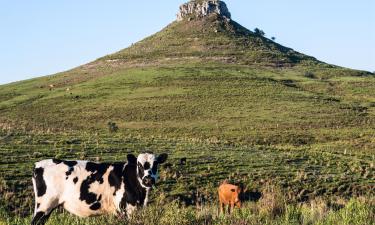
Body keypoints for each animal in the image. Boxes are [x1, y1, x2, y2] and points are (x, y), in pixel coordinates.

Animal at [30, 153, 168, 225]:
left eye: (156, 164)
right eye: (139, 165)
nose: (148, 180)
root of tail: (38, 164)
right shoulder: (126, 210)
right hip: (44, 206)